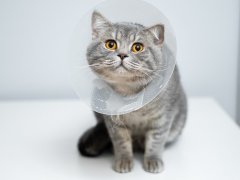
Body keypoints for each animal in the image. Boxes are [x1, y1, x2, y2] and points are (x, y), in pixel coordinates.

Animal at [78, 10, 187, 173]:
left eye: (138, 47)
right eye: (111, 44)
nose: (122, 54)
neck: (128, 92)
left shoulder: (163, 118)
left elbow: (156, 140)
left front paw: (153, 160)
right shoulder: (113, 123)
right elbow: (121, 142)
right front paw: (124, 160)